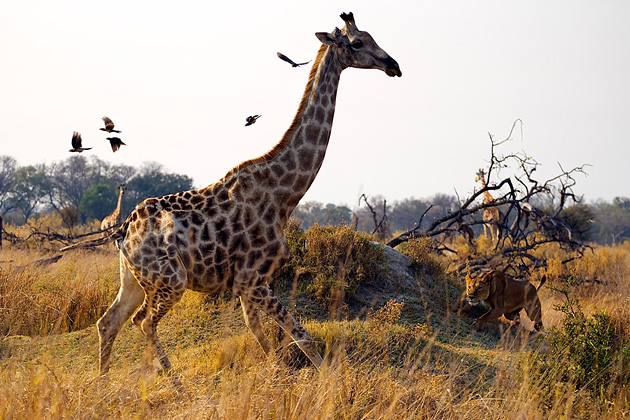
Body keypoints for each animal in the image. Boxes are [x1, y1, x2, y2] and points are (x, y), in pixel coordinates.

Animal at [61, 11, 402, 378]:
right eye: (358, 42)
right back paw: (174, 382)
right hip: (171, 279)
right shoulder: (252, 280)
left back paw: (103, 382)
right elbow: (301, 336)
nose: (394, 65)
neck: (284, 195)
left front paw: (279, 376)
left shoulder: (249, 283)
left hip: (133, 280)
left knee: (108, 321)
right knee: (143, 322)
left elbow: (264, 337)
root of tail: (124, 231)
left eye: (372, 37)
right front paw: (326, 381)